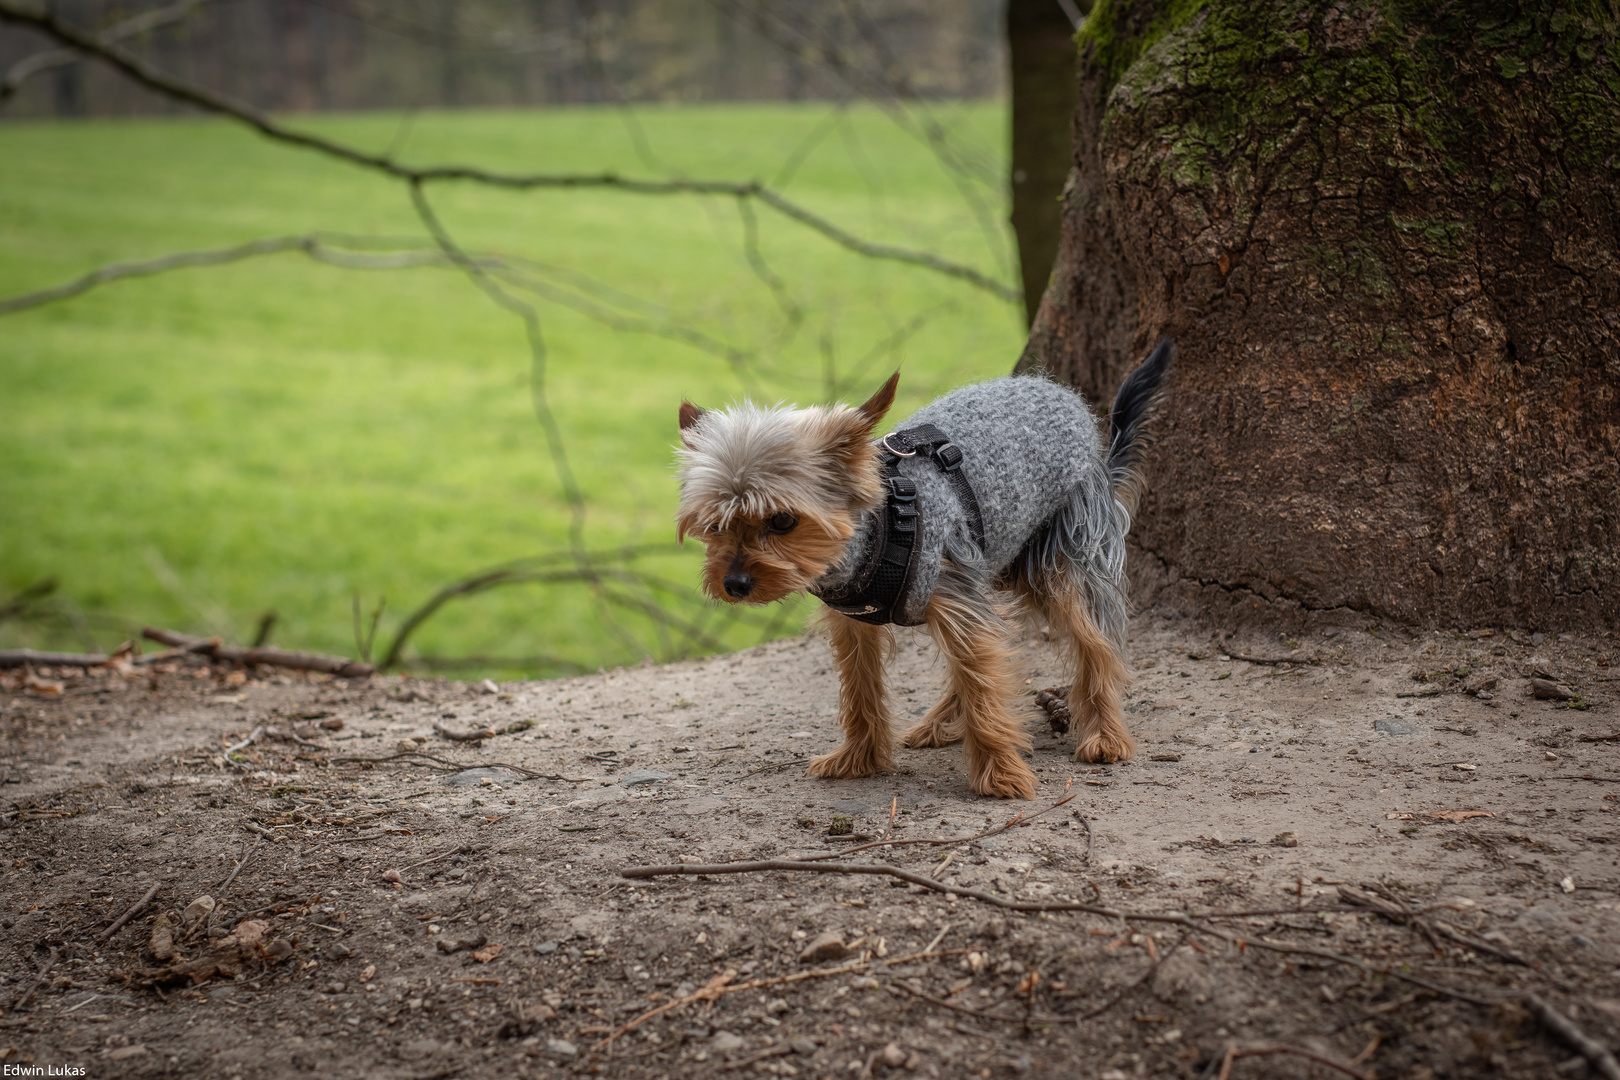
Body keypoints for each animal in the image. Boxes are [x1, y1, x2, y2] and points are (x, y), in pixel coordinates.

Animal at [677, 341, 1172, 799]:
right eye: (715, 524)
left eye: (782, 520)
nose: (734, 584)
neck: (876, 531)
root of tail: (1065, 397)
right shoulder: (858, 620)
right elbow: (862, 689)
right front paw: (859, 758)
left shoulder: (956, 598)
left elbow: (984, 686)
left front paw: (1000, 775)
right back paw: (937, 726)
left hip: (1064, 556)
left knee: (1096, 648)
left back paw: (1105, 736)